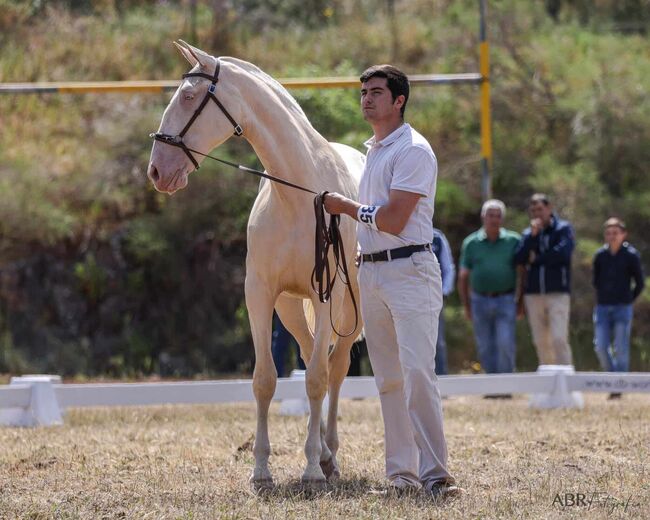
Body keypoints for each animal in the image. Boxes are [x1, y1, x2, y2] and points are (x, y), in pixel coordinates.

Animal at [147, 41, 368, 488]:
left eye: (189, 97)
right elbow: (265, 380)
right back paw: (322, 452)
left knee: (334, 369)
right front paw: (262, 470)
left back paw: (329, 456)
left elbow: (317, 379)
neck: (300, 194)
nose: (157, 170)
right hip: (291, 308)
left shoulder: (326, 295)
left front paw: (310, 471)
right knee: (311, 355)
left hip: (349, 309)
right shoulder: (261, 294)